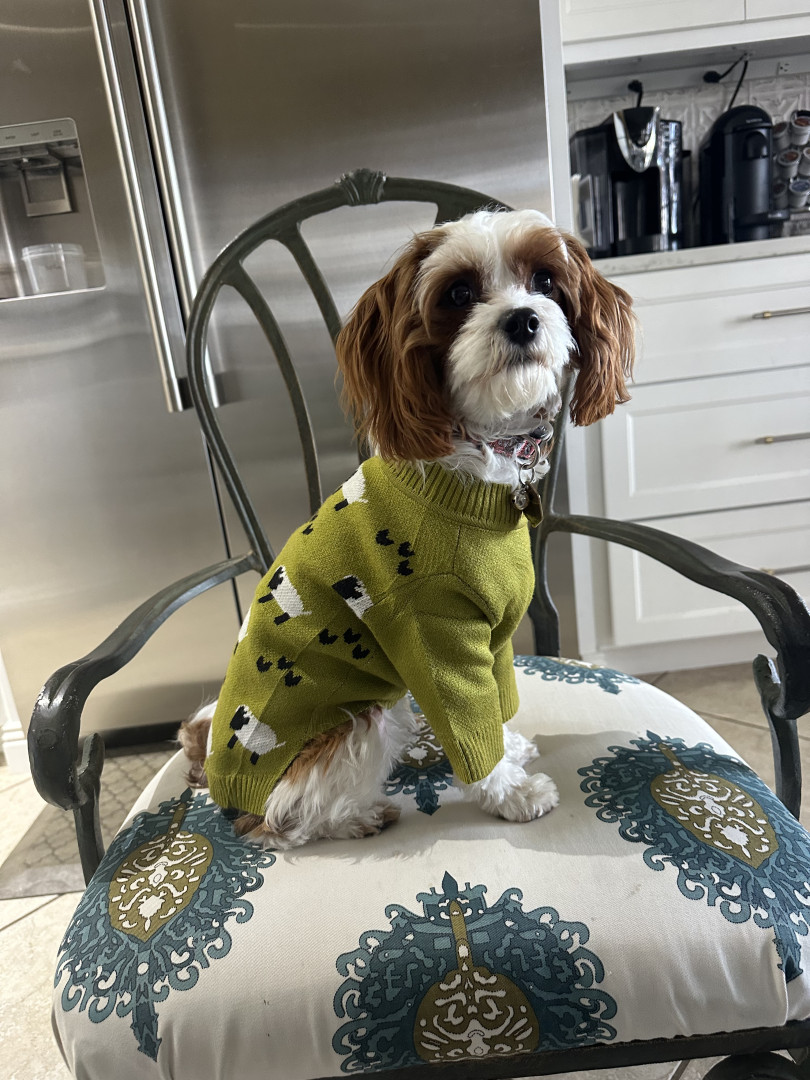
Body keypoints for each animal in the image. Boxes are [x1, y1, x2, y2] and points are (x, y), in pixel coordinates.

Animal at [179, 208, 634, 849]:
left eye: (546, 280)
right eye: (459, 293)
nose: (522, 318)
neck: (476, 461)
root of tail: (214, 776)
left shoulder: (496, 636)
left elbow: (499, 704)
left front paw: (514, 749)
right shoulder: (436, 640)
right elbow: (470, 724)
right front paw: (511, 794)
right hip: (362, 716)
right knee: (285, 819)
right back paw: (357, 816)